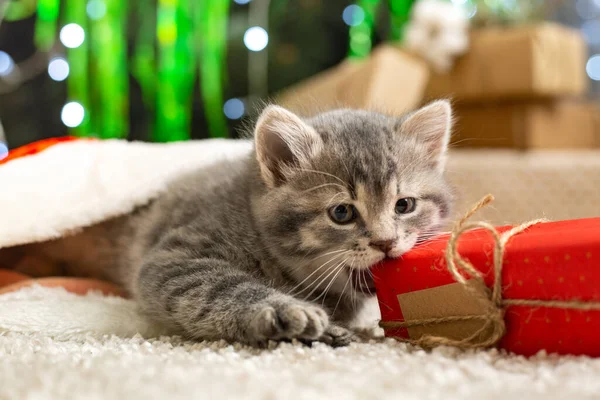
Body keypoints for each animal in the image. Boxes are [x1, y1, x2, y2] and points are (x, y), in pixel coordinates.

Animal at [7, 98, 452, 346]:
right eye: (341, 213)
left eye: (404, 205)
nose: (385, 242)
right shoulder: (173, 259)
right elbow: (218, 287)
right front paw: (284, 311)